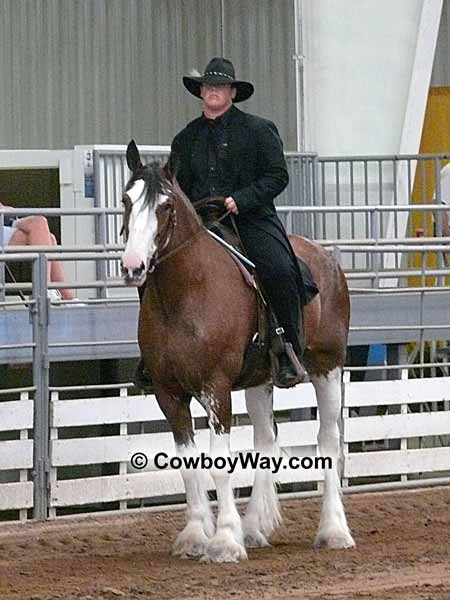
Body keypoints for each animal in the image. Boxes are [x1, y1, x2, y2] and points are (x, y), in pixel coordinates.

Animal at [120, 141, 356, 564]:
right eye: (126, 200)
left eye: (165, 205)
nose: (133, 266)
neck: (186, 292)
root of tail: (327, 259)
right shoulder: (168, 394)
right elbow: (188, 465)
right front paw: (196, 534)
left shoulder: (216, 388)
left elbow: (219, 464)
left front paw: (225, 540)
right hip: (260, 380)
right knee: (265, 440)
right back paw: (255, 527)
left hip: (327, 366)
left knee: (328, 440)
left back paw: (333, 531)